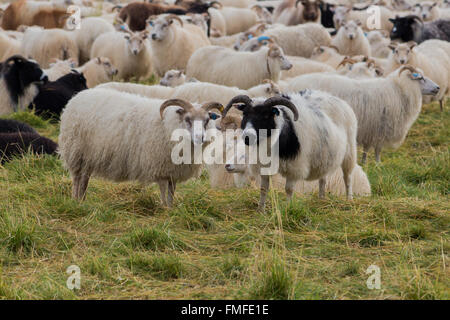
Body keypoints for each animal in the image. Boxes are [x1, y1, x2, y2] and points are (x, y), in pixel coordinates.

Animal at [58, 89, 223, 206]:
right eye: (188, 119)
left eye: (207, 120)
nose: (200, 137)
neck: (169, 124)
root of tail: (77, 97)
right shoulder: (161, 168)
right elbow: (164, 192)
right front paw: (164, 209)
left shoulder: (173, 171)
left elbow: (172, 193)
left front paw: (171, 209)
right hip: (76, 152)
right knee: (77, 178)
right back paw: (75, 200)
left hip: (89, 156)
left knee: (84, 179)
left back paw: (82, 200)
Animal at [284, 66, 440, 164]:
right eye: (420, 78)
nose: (438, 88)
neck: (400, 91)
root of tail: (291, 83)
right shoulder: (379, 129)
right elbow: (377, 149)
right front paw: (378, 164)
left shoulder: (371, 130)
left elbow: (367, 149)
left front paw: (365, 163)